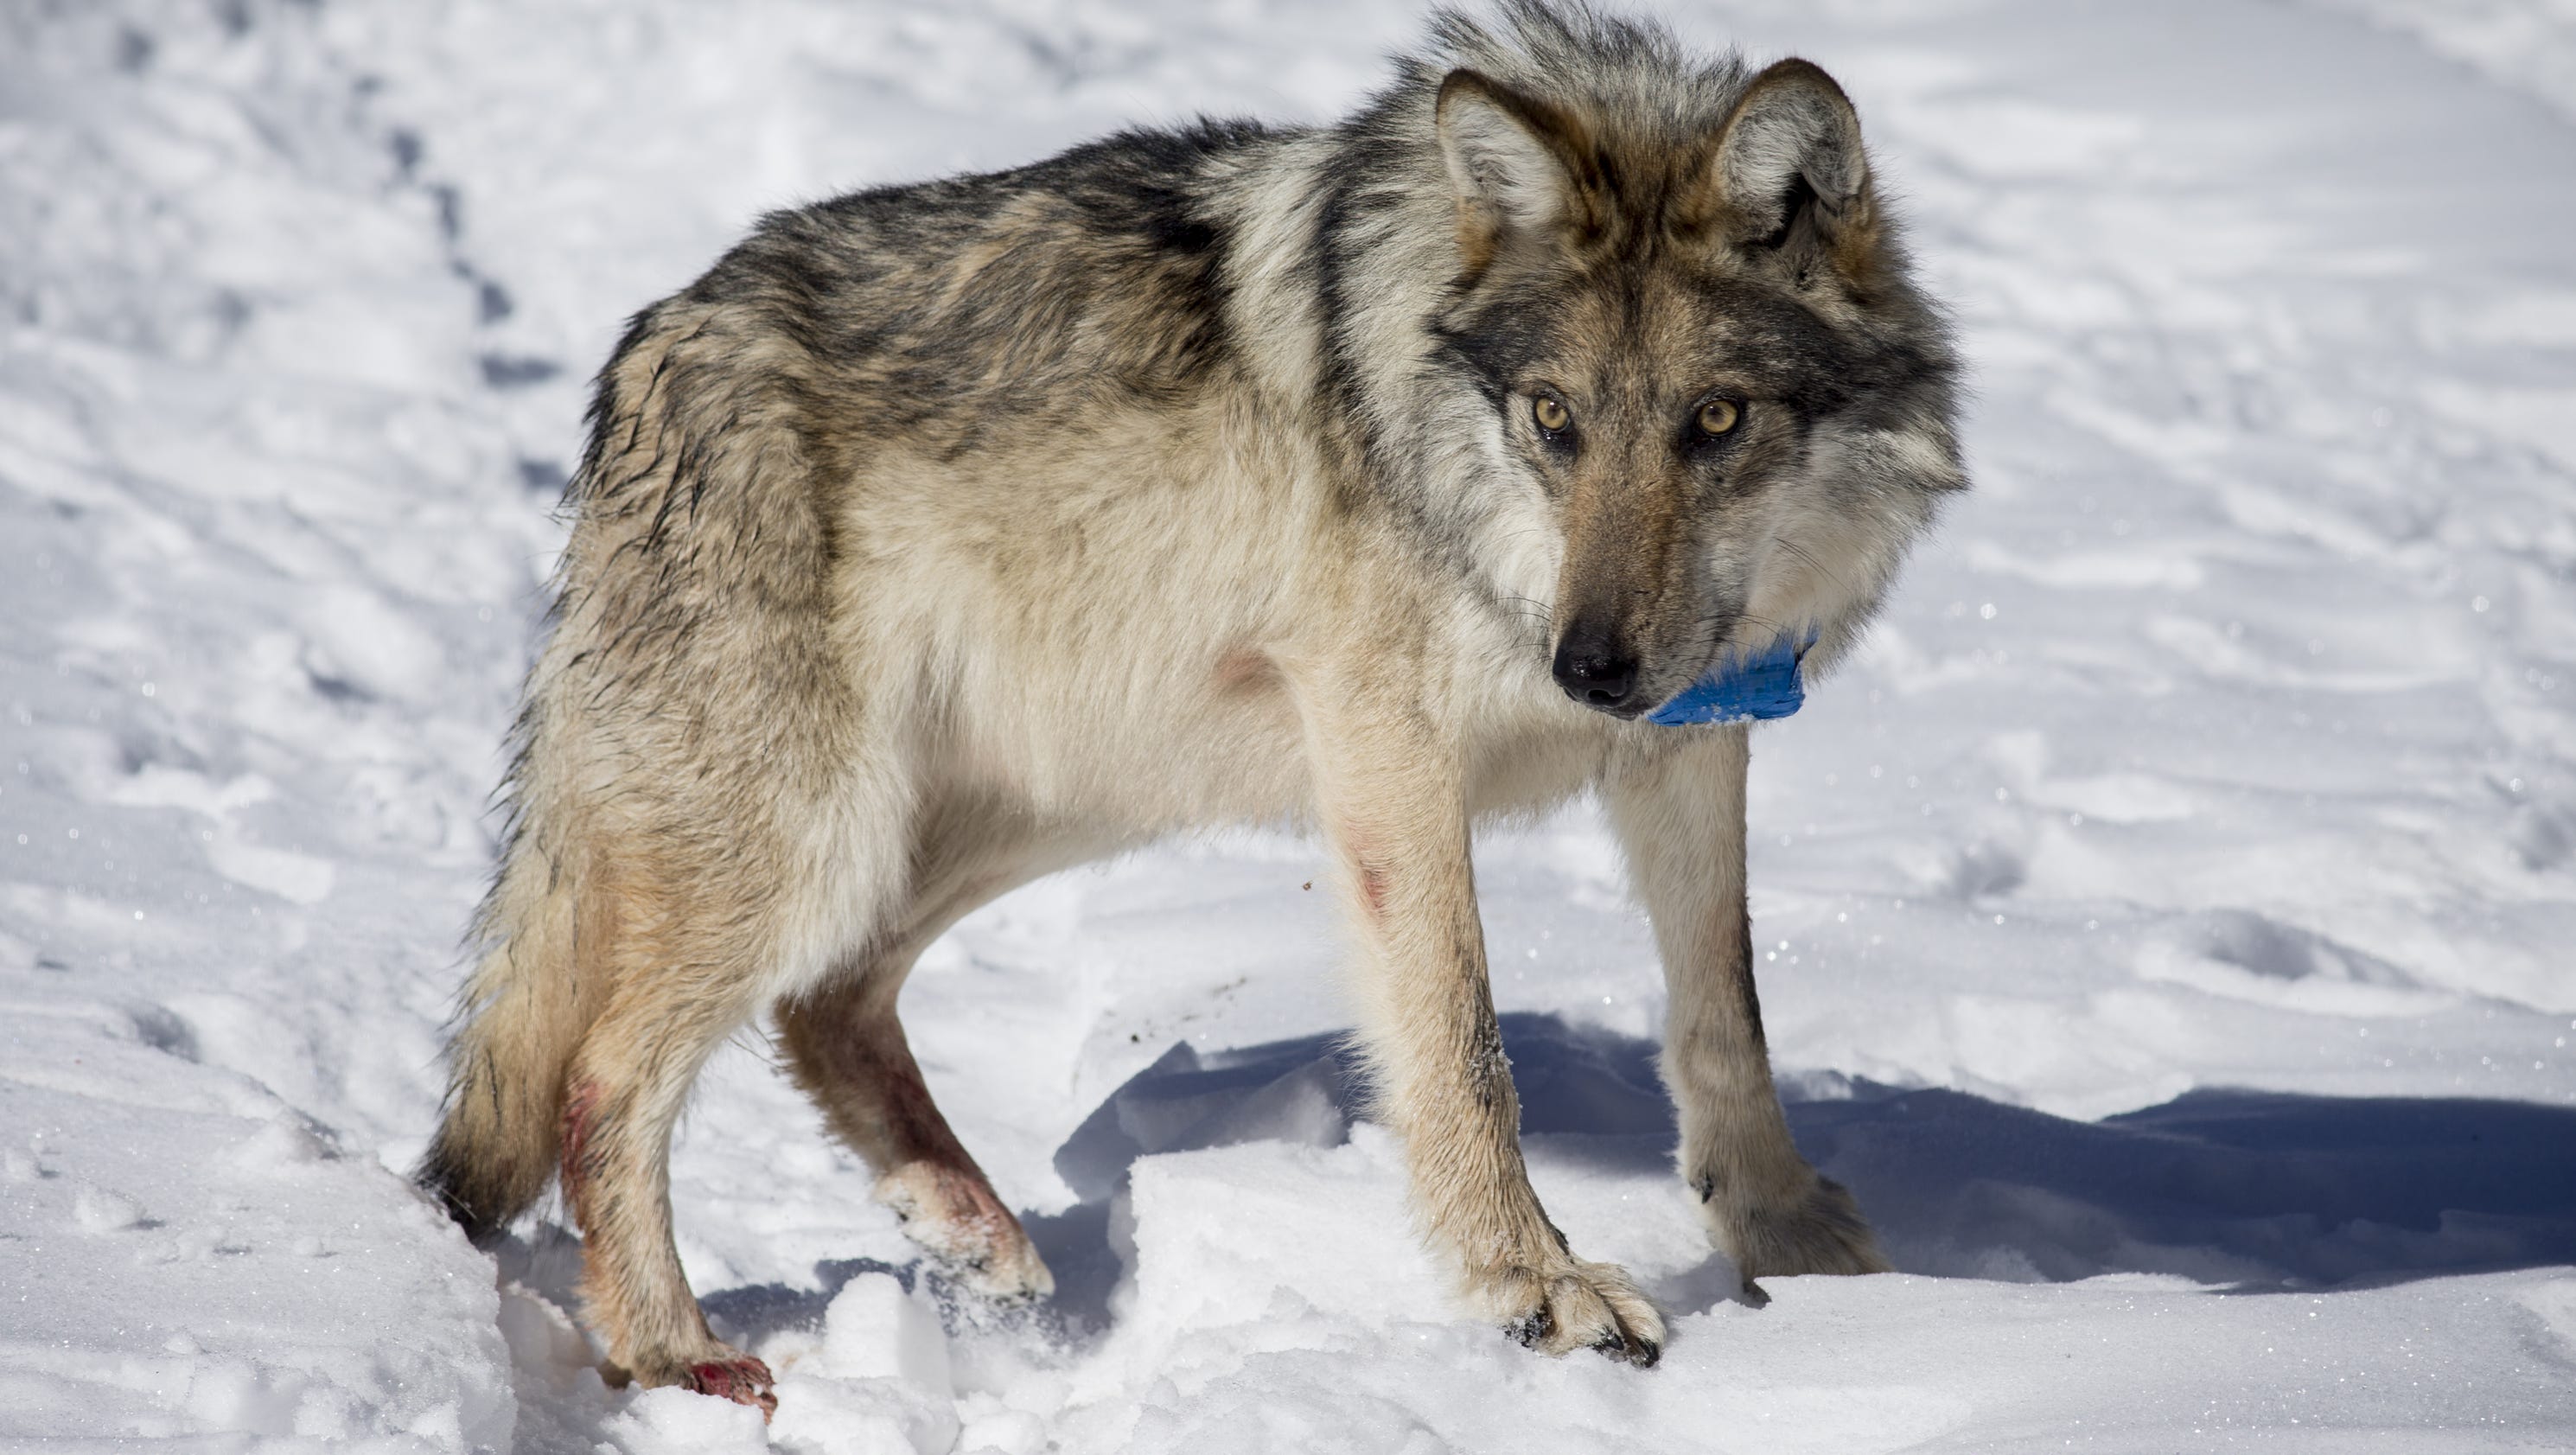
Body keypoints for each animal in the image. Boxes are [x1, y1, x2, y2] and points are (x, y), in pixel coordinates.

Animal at [422, 0, 1957, 1411]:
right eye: (1554, 418)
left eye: (1717, 419)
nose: (1589, 669)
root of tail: (645, 352)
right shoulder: (1391, 751)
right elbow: (1464, 1045)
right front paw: (1538, 1288)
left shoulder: (1690, 749)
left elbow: (1727, 1016)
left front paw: (1809, 1266)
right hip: (823, 832)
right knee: (607, 1078)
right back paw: (674, 1351)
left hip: (1044, 799)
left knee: (826, 999)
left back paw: (968, 1223)